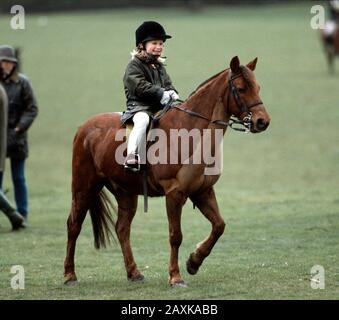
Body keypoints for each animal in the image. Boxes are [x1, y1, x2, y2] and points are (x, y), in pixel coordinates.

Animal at [63, 55, 270, 288]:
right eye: (242, 89)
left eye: (258, 87)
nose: (262, 121)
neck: (191, 132)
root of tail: (84, 128)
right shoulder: (175, 194)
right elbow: (175, 236)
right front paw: (175, 277)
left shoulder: (202, 191)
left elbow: (219, 226)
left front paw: (194, 262)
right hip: (83, 188)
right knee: (74, 225)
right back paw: (70, 275)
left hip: (126, 193)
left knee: (122, 229)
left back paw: (134, 273)